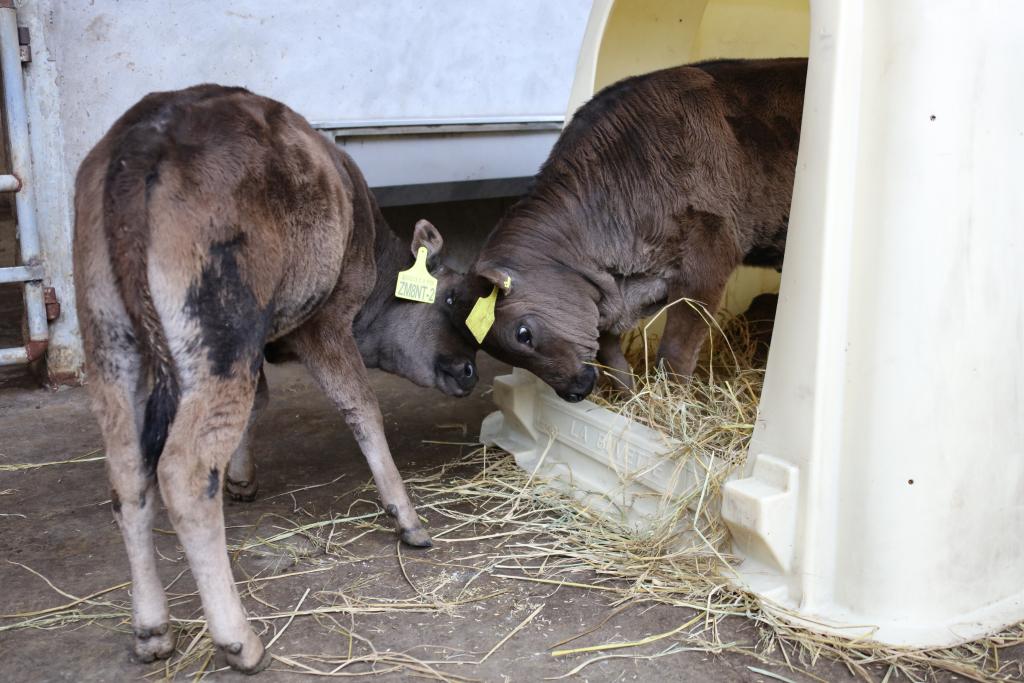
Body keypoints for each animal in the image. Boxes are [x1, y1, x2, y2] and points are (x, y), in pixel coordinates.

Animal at [73, 84, 477, 673]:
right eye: (449, 299)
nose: (471, 369)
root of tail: (149, 132)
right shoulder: (324, 324)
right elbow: (362, 407)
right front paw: (408, 519)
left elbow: (260, 403)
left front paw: (242, 478)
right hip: (220, 337)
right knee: (183, 471)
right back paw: (240, 641)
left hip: (109, 339)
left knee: (128, 472)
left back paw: (152, 629)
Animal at [449, 58, 806, 399]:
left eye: (523, 333)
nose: (575, 391)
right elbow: (610, 353)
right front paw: (627, 397)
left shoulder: (707, 262)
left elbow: (676, 352)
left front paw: (671, 400)